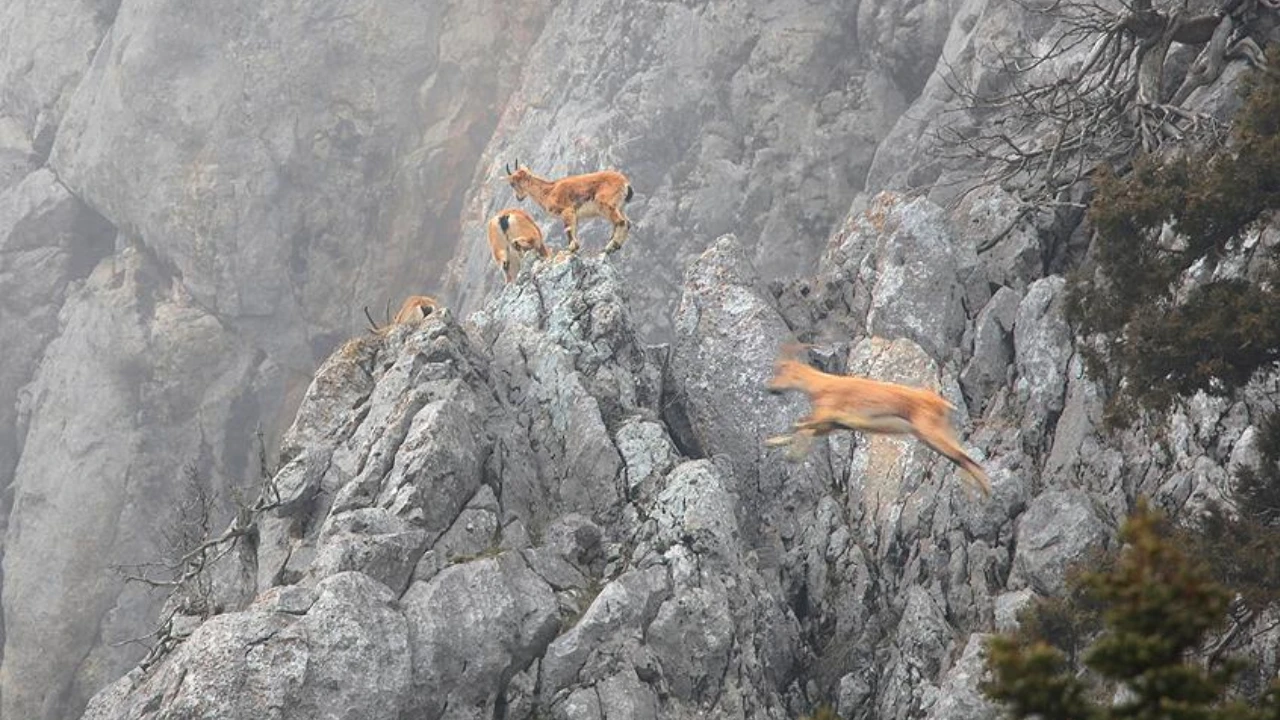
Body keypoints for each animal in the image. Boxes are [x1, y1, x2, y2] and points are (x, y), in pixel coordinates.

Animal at [504, 158, 634, 252]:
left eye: (512, 183)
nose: (518, 197)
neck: (549, 191)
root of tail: (625, 183)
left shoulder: (566, 210)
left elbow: (568, 229)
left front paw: (571, 248)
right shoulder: (574, 214)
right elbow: (574, 229)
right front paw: (575, 247)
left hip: (605, 205)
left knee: (620, 222)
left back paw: (609, 247)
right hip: (620, 207)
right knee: (627, 223)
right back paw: (615, 246)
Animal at [762, 345, 993, 497]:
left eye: (782, 370)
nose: (770, 388)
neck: (820, 385)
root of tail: (943, 404)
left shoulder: (831, 413)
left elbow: (802, 424)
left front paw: (789, 447)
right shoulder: (831, 425)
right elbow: (804, 431)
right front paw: (781, 448)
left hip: (931, 432)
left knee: (966, 459)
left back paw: (986, 493)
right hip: (933, 435)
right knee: (961, 458)